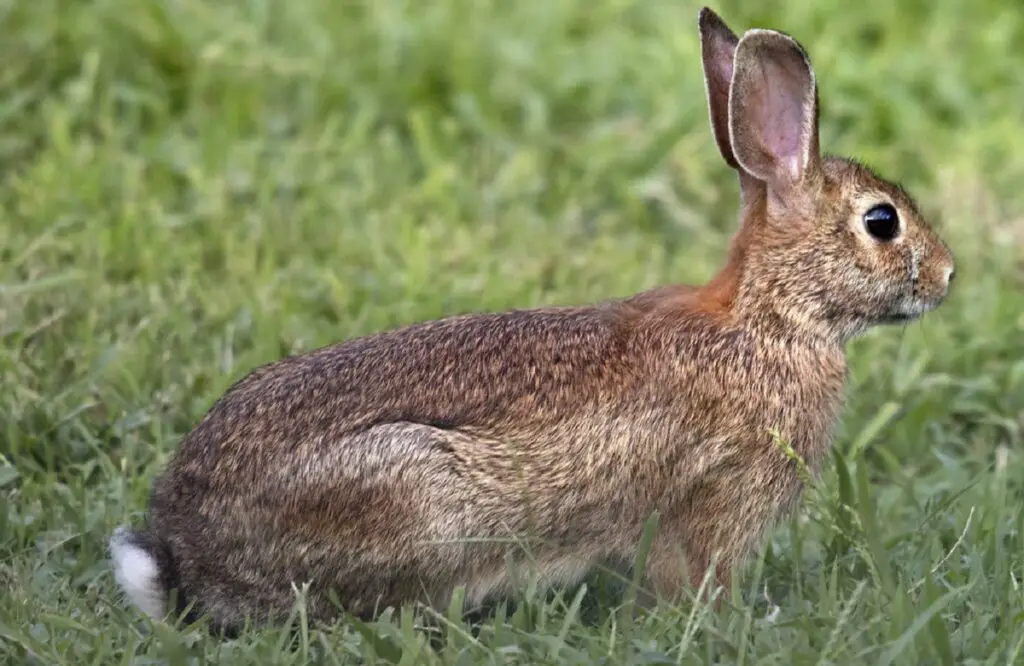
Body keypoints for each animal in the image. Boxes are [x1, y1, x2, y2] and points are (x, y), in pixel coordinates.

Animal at [108, 9, 954, 631]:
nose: (948, 276)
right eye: (882, 222)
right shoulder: (717, 498)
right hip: (419, 503)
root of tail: (184, 557)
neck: (768, 318)